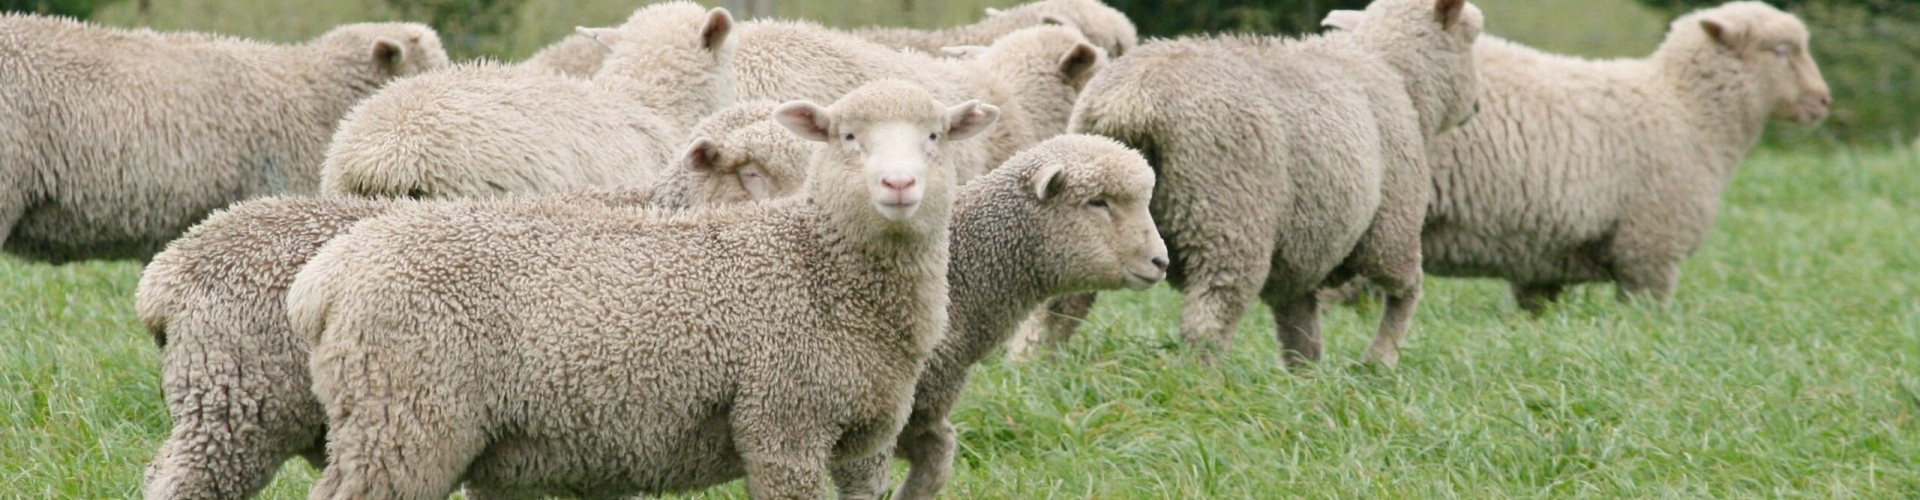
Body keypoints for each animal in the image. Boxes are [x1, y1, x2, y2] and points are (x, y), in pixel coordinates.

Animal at [287, 80, 998, 500]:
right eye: (847, 137)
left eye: (934, 137)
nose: (900, 185)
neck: (815, 265)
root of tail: (326, 279)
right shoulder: (782, 424)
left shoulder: (866, 438)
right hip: (405, 421)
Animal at [1061, 0, 1483, 368]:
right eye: (1472, 36)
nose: (1477, 107)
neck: (1396, 75)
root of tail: (1132, 103)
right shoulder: (1391, 229)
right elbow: (1406, 292)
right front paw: (1381, 359)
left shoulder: (1299, 262)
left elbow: (1301, 332)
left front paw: (1306, 382)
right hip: (1228, 219)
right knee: (1207, 321)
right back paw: (1201, 383)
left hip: (1098, 223)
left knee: (1066, 301)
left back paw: (1046, 366)